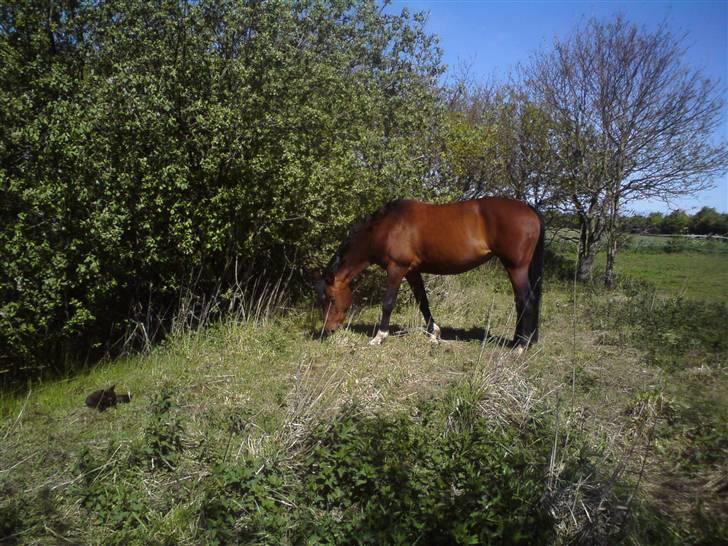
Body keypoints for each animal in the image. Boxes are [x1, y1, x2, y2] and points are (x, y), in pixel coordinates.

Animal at [316, 196, 544, 348]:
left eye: (331, 299)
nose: (328, 329)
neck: (387, 227)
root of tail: (529, 209)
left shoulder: (396, 268)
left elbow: (388, 303)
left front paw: (379, 337)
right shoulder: (412, 271)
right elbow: (423, 302)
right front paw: (434, 333)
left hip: (516, 267)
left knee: (526, 300)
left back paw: (521, 346)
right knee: (523, 302)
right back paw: (520, 341)